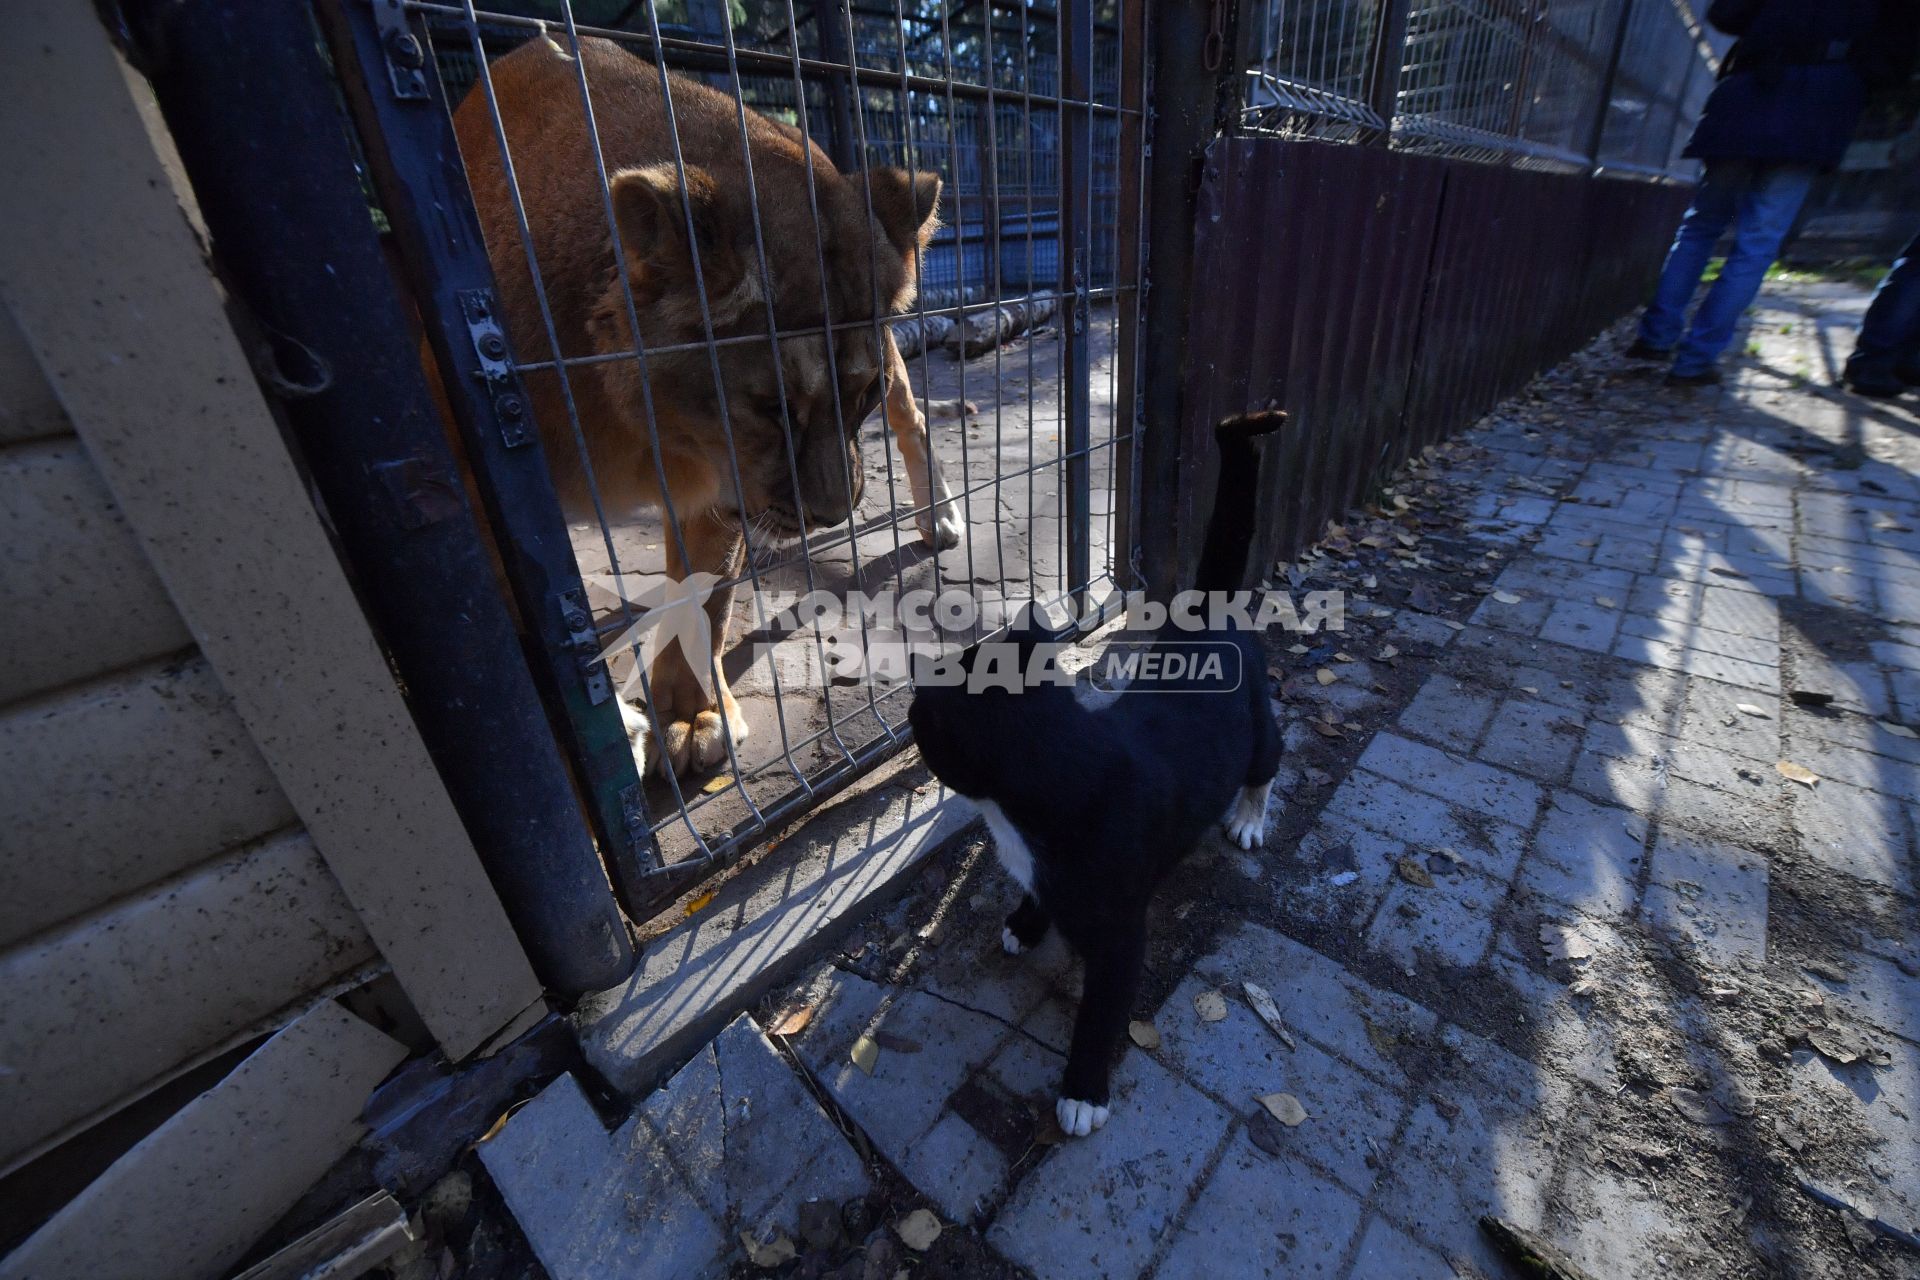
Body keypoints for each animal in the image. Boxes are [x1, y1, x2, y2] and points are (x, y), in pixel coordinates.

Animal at [906, 408, 1282, 1128]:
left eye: (922, 722)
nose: (909, 705)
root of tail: (1209, 611)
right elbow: (1035, 893)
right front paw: (1026, 924)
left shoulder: (1120, 940)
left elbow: (1101, 1015)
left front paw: (1083, 1091)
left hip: (1261, 732)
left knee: (1268, 767)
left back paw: (1250, 821)